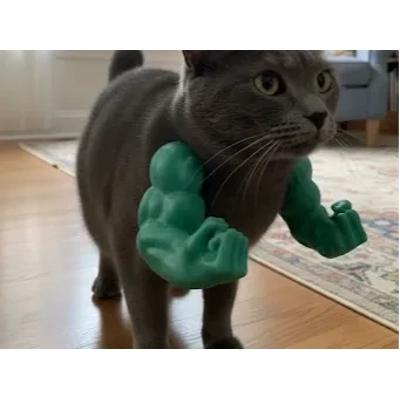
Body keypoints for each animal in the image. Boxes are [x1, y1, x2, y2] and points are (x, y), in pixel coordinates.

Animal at [76, 50, 340, 349]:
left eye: (322, 80)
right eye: (267, 83)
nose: (318, 113)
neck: (247, 181)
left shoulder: (236, 245)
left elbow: (222, 299)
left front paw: (222, 341)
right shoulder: (133, 251)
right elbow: (148, 313)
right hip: (93, 206)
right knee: (104, 246)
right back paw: (107, 283)